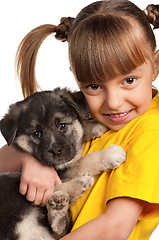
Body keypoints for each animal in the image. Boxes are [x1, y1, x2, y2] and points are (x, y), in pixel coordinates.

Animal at [0, 88, 125, 240]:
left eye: (62, 126)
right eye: (37, 134)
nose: (56, 151)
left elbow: (80, 129)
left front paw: (95, 126)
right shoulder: (62, 170)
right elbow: (84, 161)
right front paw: (110, 154)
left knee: (58, 229)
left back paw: (58, 208)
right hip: (10, 180)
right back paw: (79, 185)